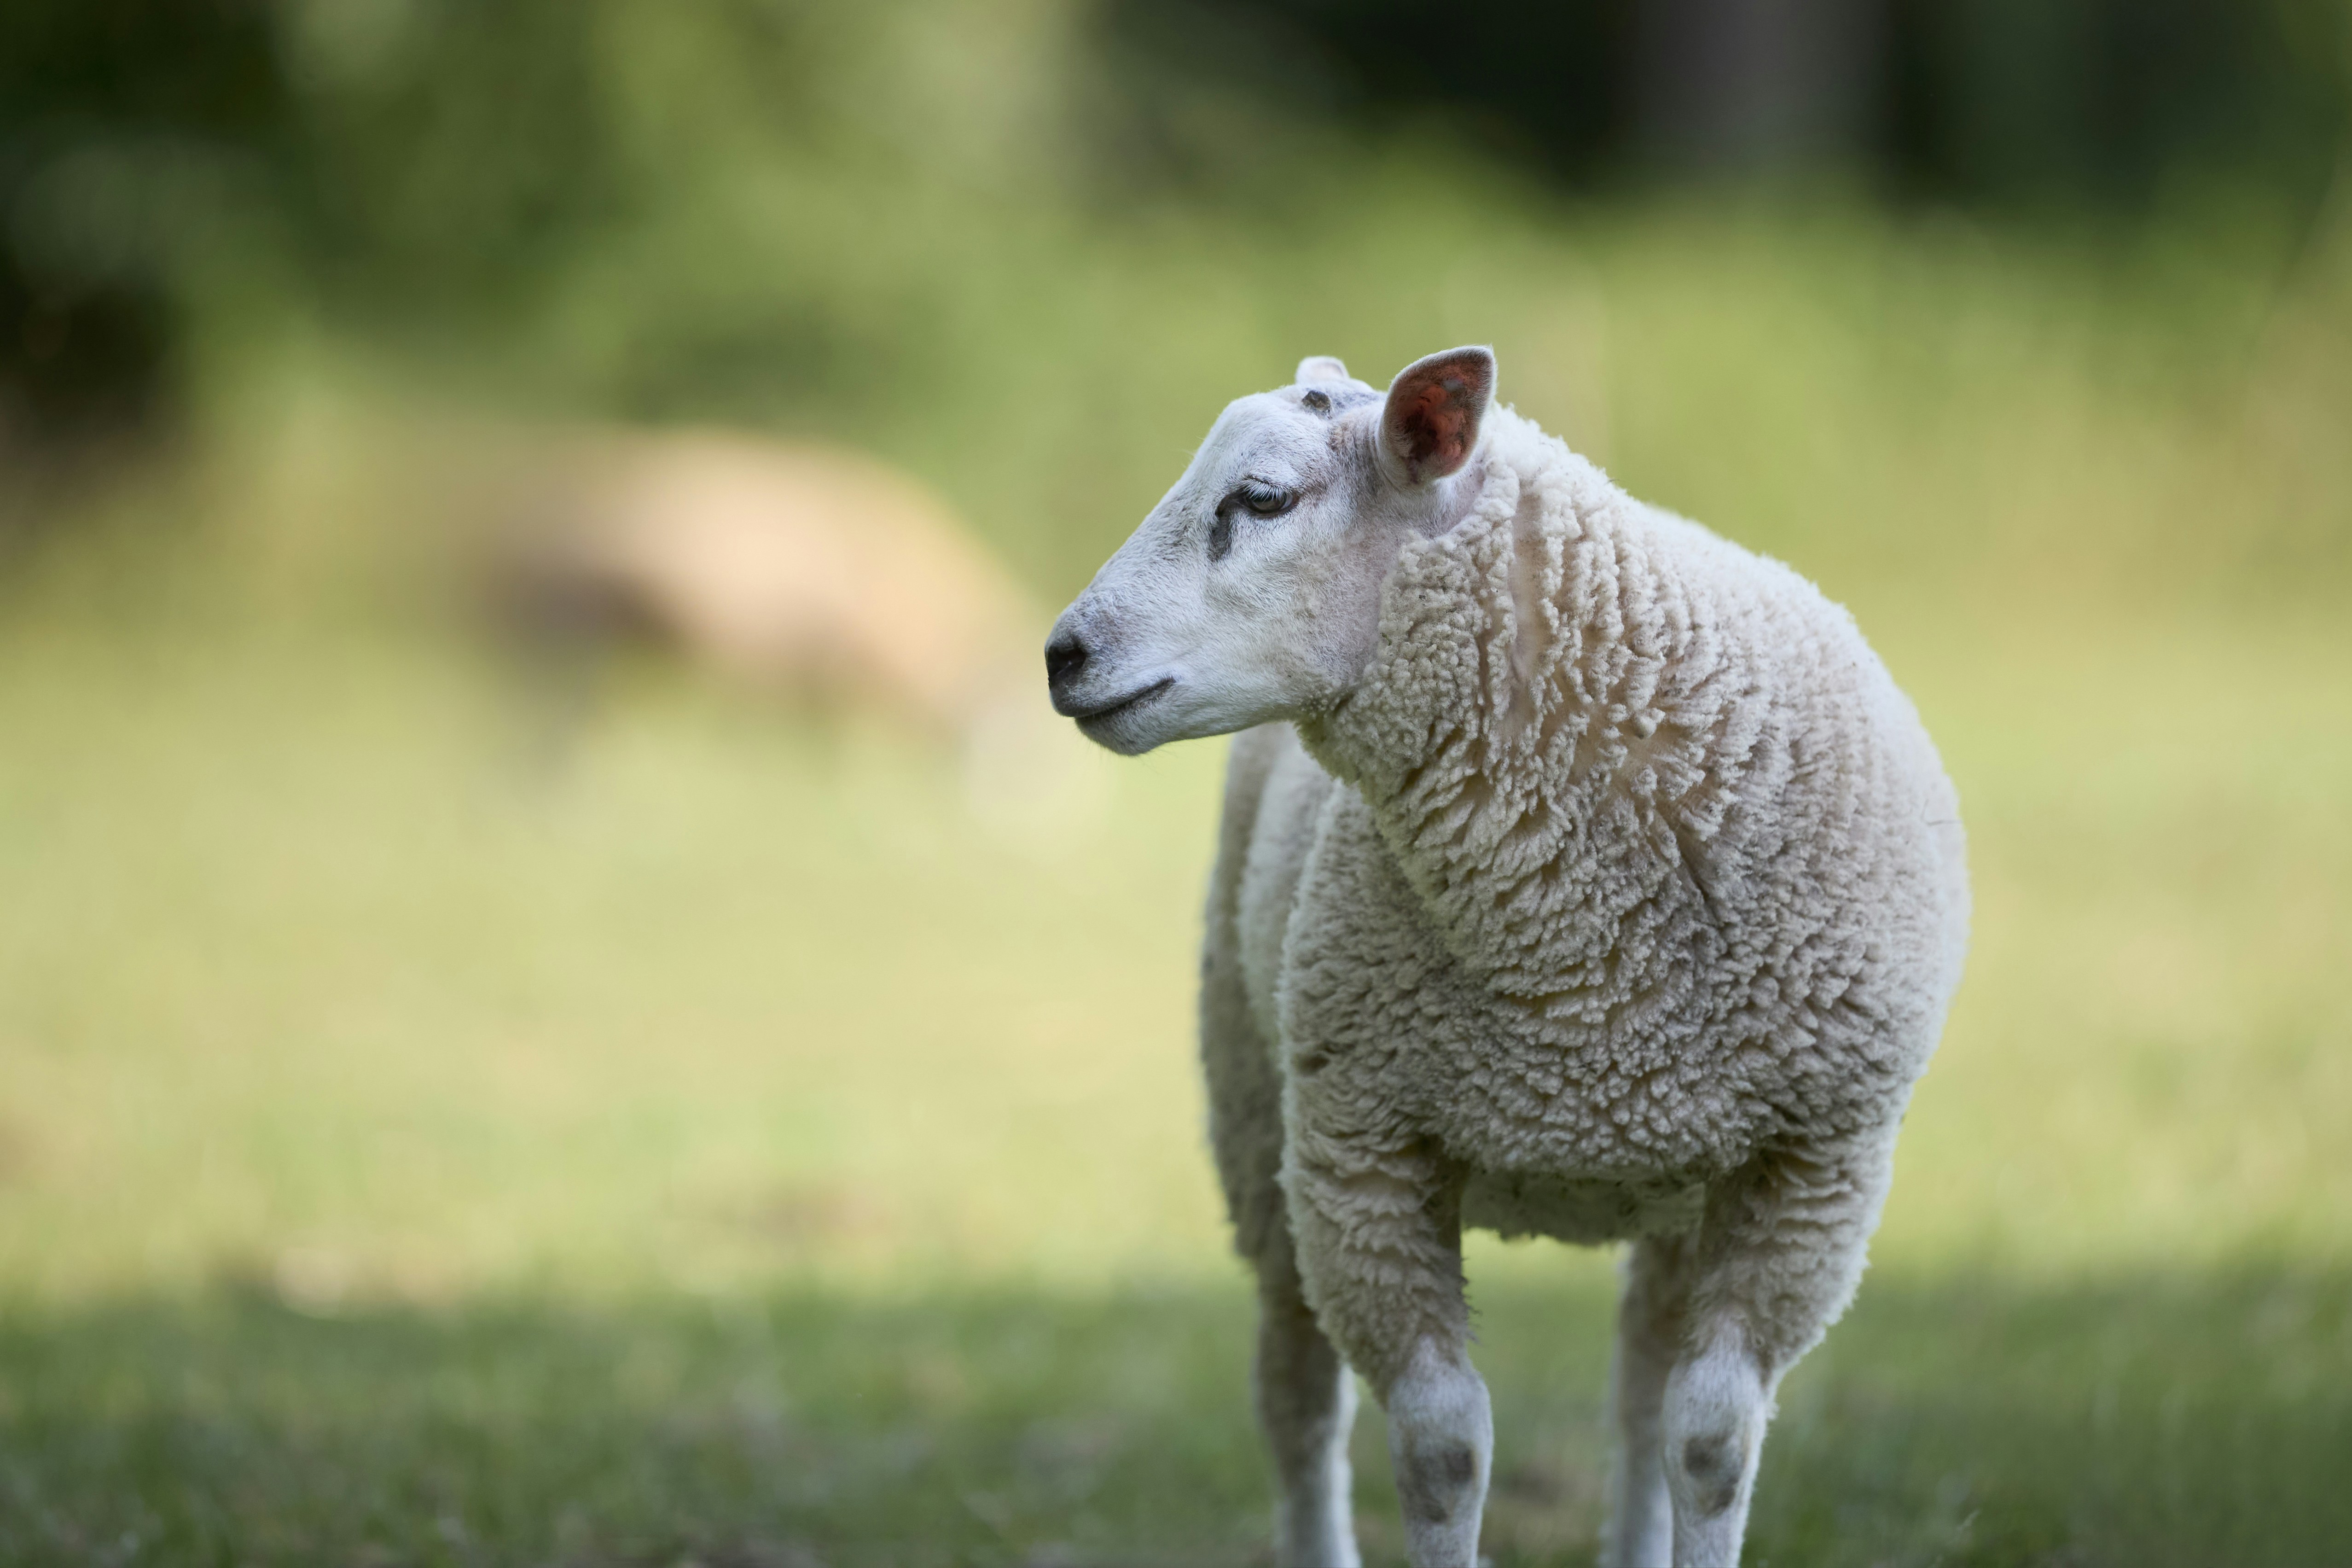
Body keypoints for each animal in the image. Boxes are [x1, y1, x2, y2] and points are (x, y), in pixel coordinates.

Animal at [1044, 348, 1969, 1567]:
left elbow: (1709, 1435)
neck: (1582, 968)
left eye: (1263, 499)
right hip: (1255, 1118)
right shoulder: (1363, 1162)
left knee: (1639, 1390)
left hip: (1675, 1171)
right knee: (1296, 1398)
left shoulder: (1813, 1163)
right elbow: (1440, 1450)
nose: (1060, 655)